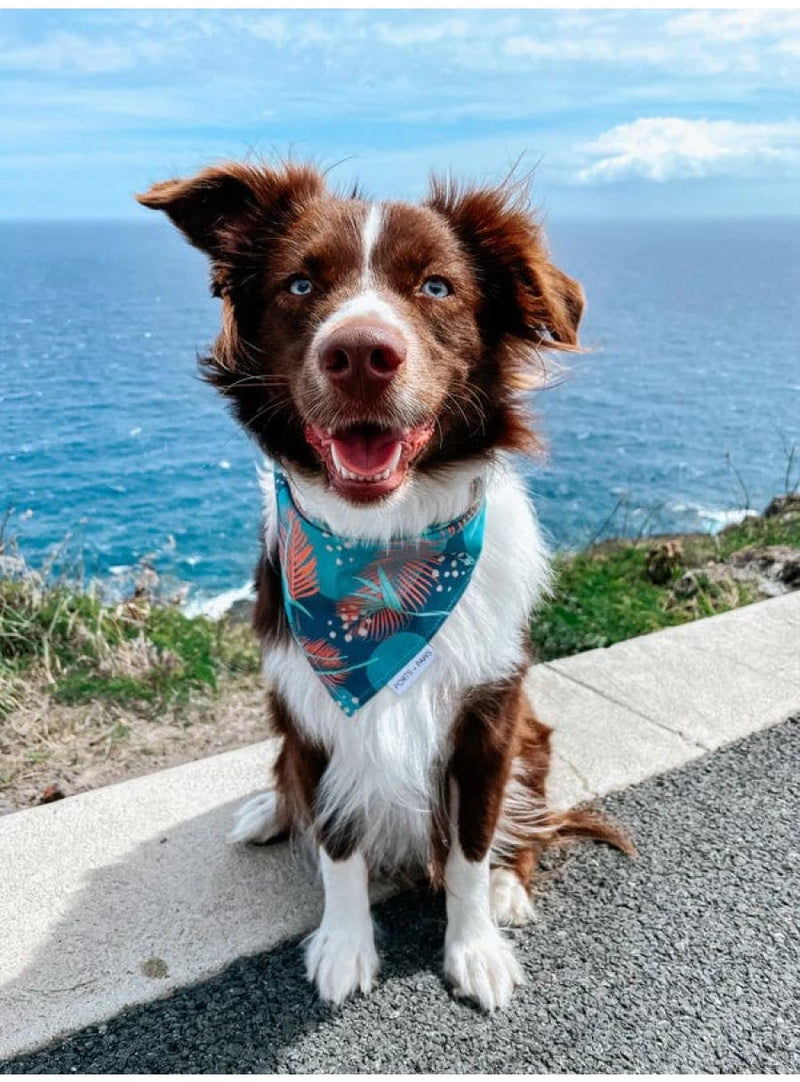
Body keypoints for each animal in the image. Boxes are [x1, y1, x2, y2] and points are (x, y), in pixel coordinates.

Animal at [135, 162, 627, 1012]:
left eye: (436, 286)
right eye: (300, 284)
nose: (362, 352)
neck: (380, 560)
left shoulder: (489, 718)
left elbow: (470, 848)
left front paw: (475, 945)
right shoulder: (317, 714)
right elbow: (338, 845)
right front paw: (344, 946)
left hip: (532, 734)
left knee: (522, 820)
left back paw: (510, 889)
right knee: (289, 784)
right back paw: (269, 811)